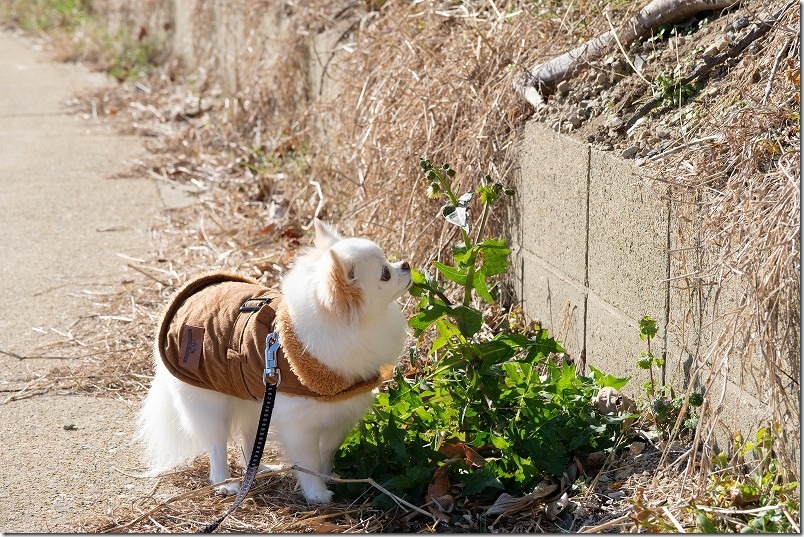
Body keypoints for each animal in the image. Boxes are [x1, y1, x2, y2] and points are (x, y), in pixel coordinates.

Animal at [137, 218, 408, 502]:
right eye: (385, 273)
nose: (406, 264)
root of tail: (183, 299)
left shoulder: (339, 412)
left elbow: (327, 452)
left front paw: (329, 477)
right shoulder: (300, 427)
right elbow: (309, 460)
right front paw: (316, 492)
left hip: (253, 395)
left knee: (250, 437)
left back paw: (257, 469)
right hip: (208, 403)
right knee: (217, 445)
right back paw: (225, 483)